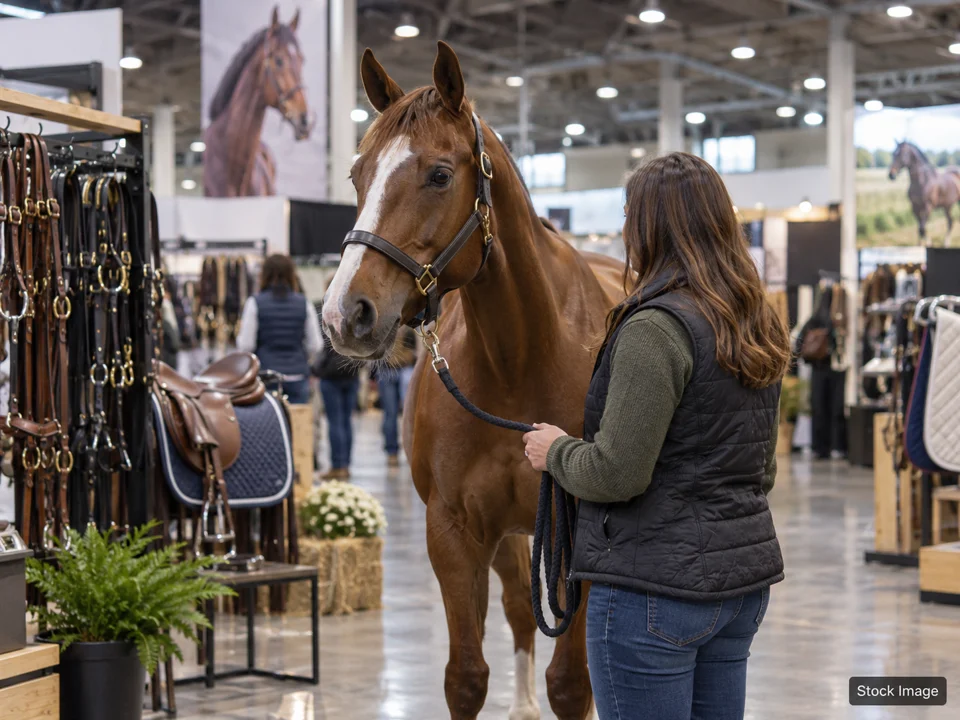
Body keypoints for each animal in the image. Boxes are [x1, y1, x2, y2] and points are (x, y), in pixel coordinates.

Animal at [322, 43, 625, 720]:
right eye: (357, 176)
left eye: (439, 175)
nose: (344, 314)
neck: (519, 359)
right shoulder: (454, 532)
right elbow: (466, 675)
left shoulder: (575, 535)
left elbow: (574, 683)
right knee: (518, 608)